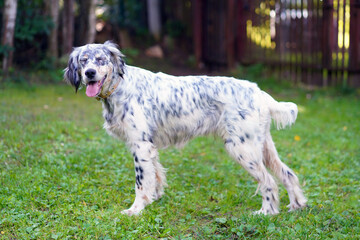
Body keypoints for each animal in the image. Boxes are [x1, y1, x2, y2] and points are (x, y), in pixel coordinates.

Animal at [65, 40, 306, 216]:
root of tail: (258, 91)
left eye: (100, 59)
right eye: (83, 61)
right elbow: (156, 175)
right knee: (287, 174)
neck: (121, 85)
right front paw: (154, 199)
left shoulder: (140, 145)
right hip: (263, 147)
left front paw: (135, 210)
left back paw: (266, 212)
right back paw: (297, 205)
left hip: (242, 148)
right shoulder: (149, 146)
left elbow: (141, 183)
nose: (89, 73)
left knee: (269, 182)